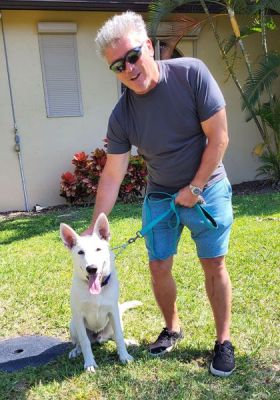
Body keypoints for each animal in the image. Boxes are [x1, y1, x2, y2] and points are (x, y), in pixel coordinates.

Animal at [60, 214, 141, 374]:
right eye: (80, 252)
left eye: (98, 249)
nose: (91, 268)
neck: (97, 291)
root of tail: (98, 337)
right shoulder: (79, 316)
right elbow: (85, 342)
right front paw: (89, 363)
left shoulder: (113, 312)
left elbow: (119, 336)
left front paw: (124, 356)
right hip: (73, 325)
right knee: (80, 342)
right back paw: (76, 350)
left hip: (116, 320)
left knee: (114, 336)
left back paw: (126, 342)